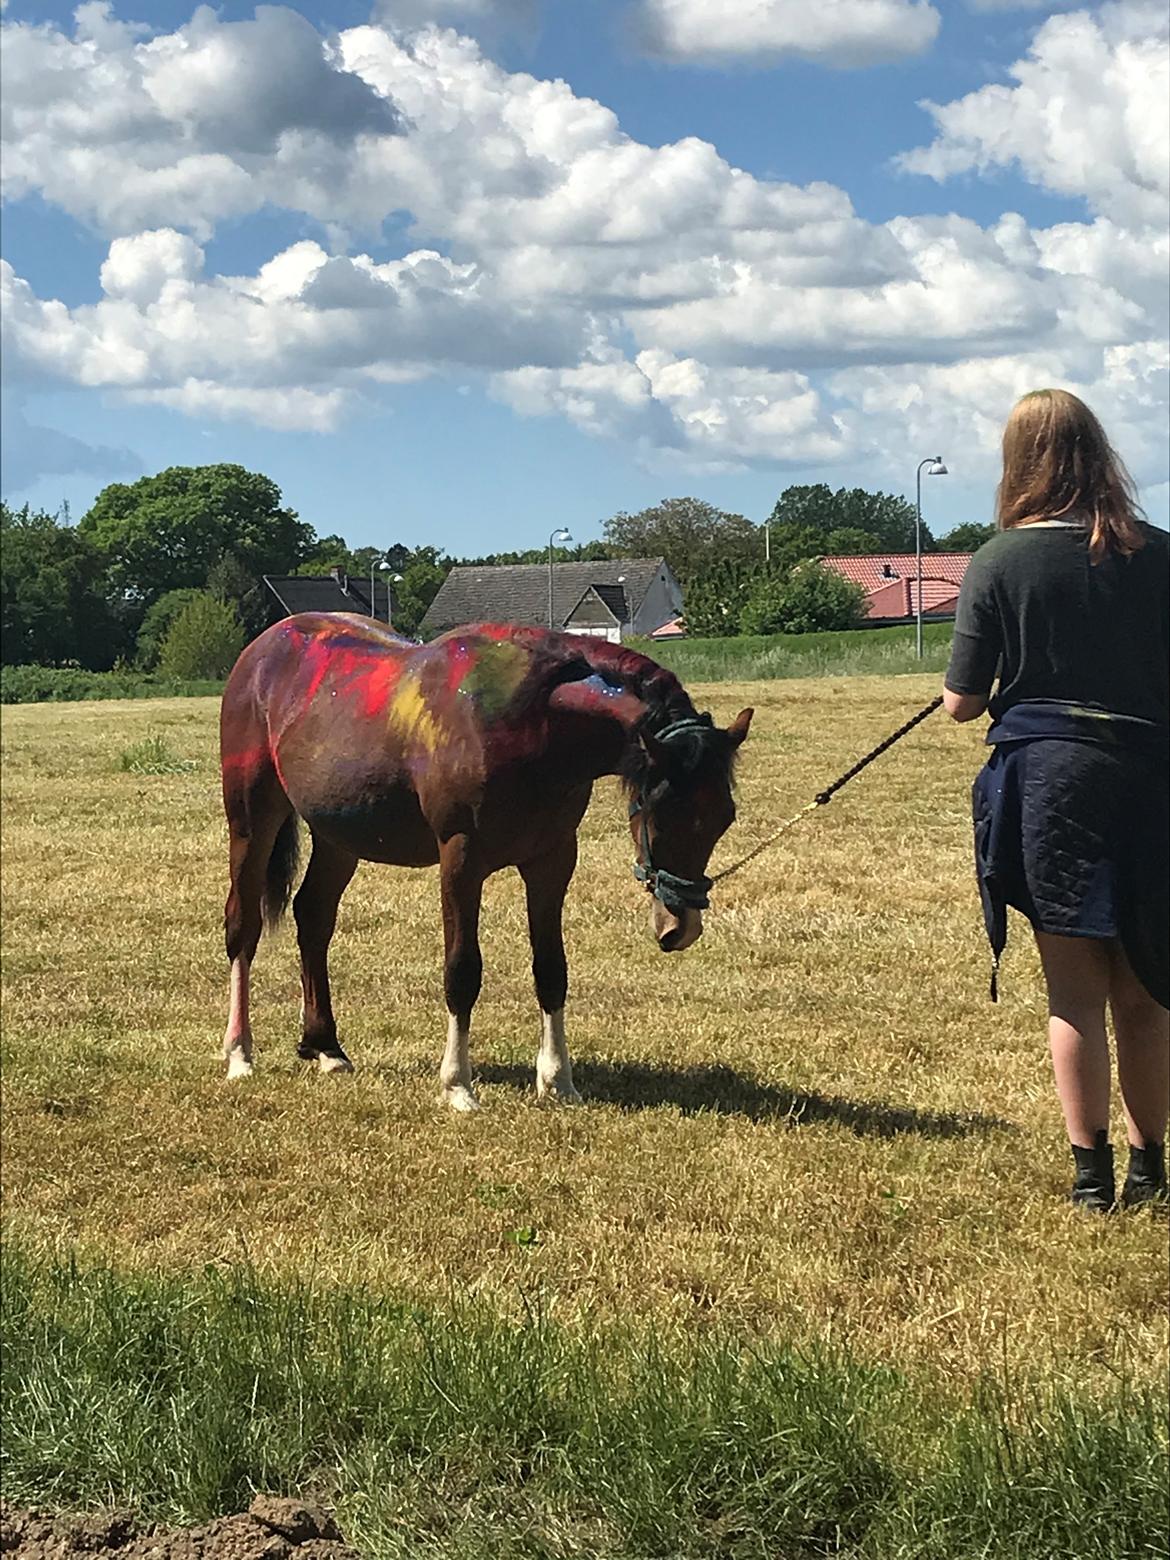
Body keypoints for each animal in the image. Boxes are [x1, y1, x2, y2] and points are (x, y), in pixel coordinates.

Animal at [218, 611, 751, 1110]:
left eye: (724, 817)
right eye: (662, 811)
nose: (680, 927)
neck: (538, 723)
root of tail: (262, 650)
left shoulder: (552, 861)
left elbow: (552, 970)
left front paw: (558, 1081)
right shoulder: (461, 859)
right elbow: (462, 970)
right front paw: (458, 1085)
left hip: (340, 836)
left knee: (313, 917)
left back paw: (326, 1047)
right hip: (251, 821)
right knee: (243, 926)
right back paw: (240, 1054)